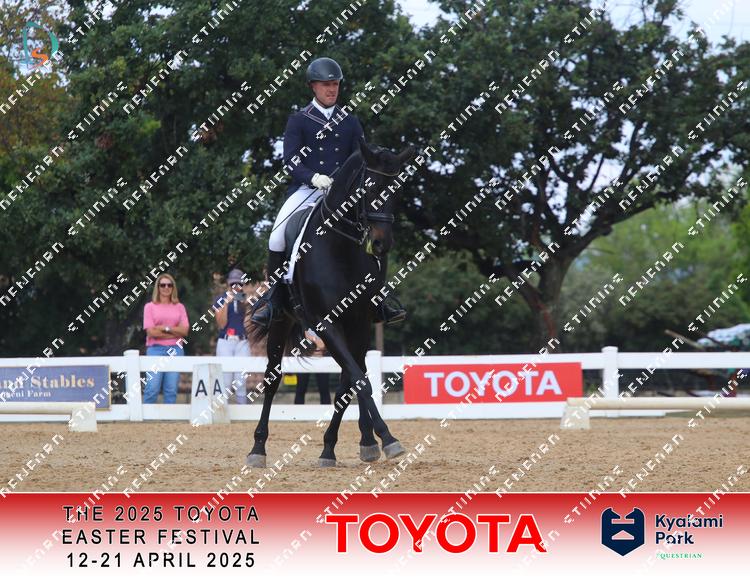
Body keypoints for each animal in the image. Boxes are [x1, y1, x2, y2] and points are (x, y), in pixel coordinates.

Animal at [245, 136, 415, 467]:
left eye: (397, 192)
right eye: (369, 189)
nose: (381, 244)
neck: (340, 247)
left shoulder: (360, 323)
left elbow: (351, 383)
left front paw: (338, 446)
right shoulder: (326, 323)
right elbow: (358, 381)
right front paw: (388, 439)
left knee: (354, 371)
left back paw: (366, 440)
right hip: (282, 321)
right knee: (272, 379)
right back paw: (257, 448)